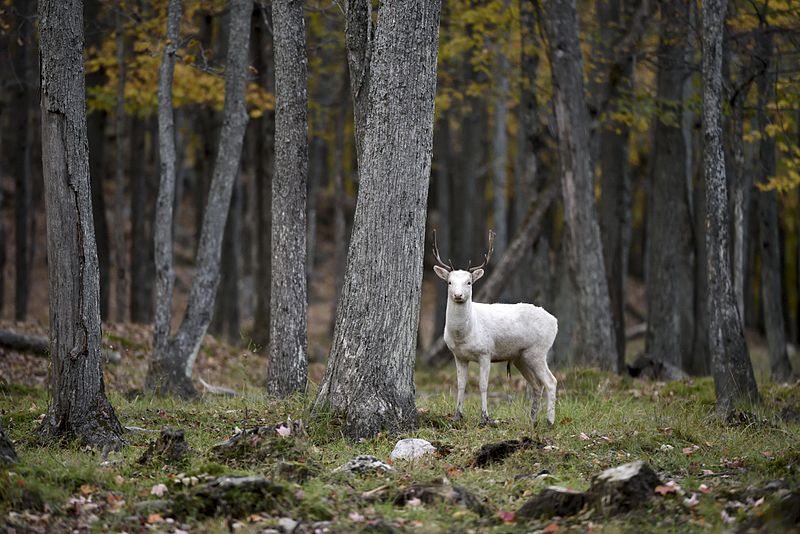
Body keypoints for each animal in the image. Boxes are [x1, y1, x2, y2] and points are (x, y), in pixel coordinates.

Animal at [434, 232, 560, 430]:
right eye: (449, 282)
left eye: (469, 282)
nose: (458, 295)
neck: (464, 335)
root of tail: (555, 321)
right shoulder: (458, 355)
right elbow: (461, 384)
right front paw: (457, 416)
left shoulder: (485, 352)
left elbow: (483, 385)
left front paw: (484, 418)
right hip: (521, 357)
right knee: (536, 385)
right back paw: (532, 420)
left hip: (538, 351)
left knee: (551, 381)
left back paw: (549, 421)